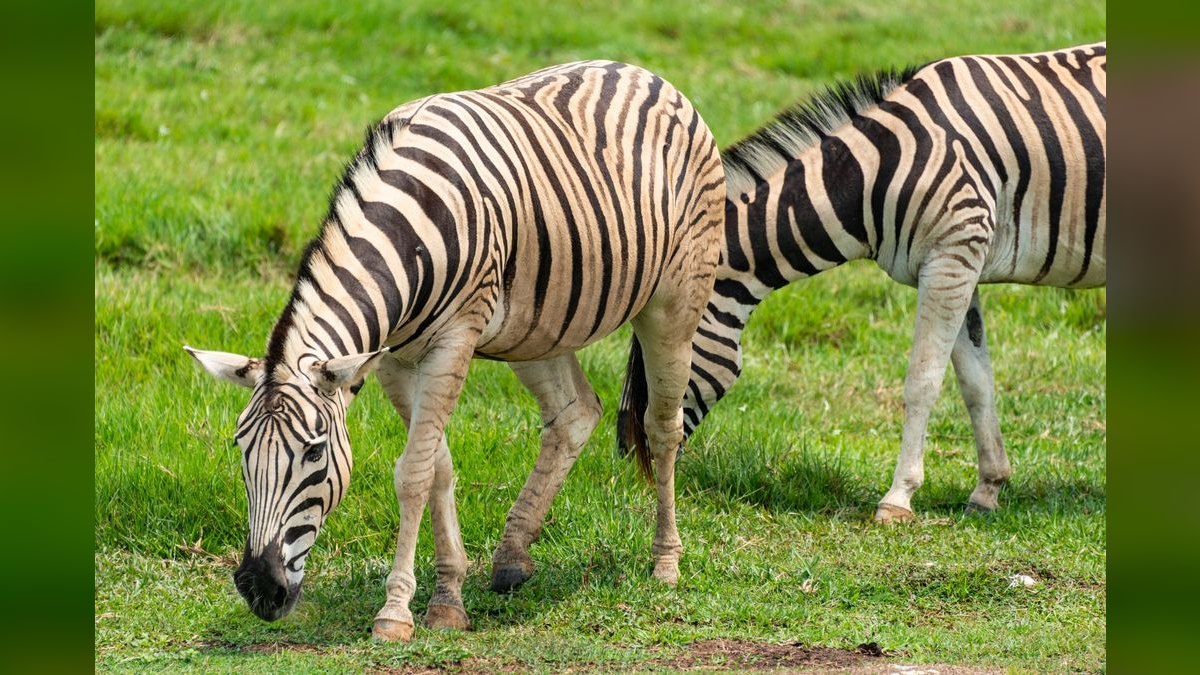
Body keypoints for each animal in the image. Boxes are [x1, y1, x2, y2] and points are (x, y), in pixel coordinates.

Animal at [185, 61, 725, 641]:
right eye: (240, 450)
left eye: (314, 452)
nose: (259, 589)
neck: (410, 236)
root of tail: (640, 71)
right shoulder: (394, 359)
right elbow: (438, 465)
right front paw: (448, 597)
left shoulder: (453, 342)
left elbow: (413, 474)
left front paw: (396, 612)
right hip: (538, 326)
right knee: (576, 413)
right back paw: (512, 558)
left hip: (673, 303)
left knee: (661, 426)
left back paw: (665, 562)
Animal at [617, 43, 1106, 523]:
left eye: (657, 355)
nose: (625, 457)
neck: (874, 171)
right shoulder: (960, 262)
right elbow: (976, 383)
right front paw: (988, 489)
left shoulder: (952, 257)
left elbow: (922, 382)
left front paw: (898, 499)